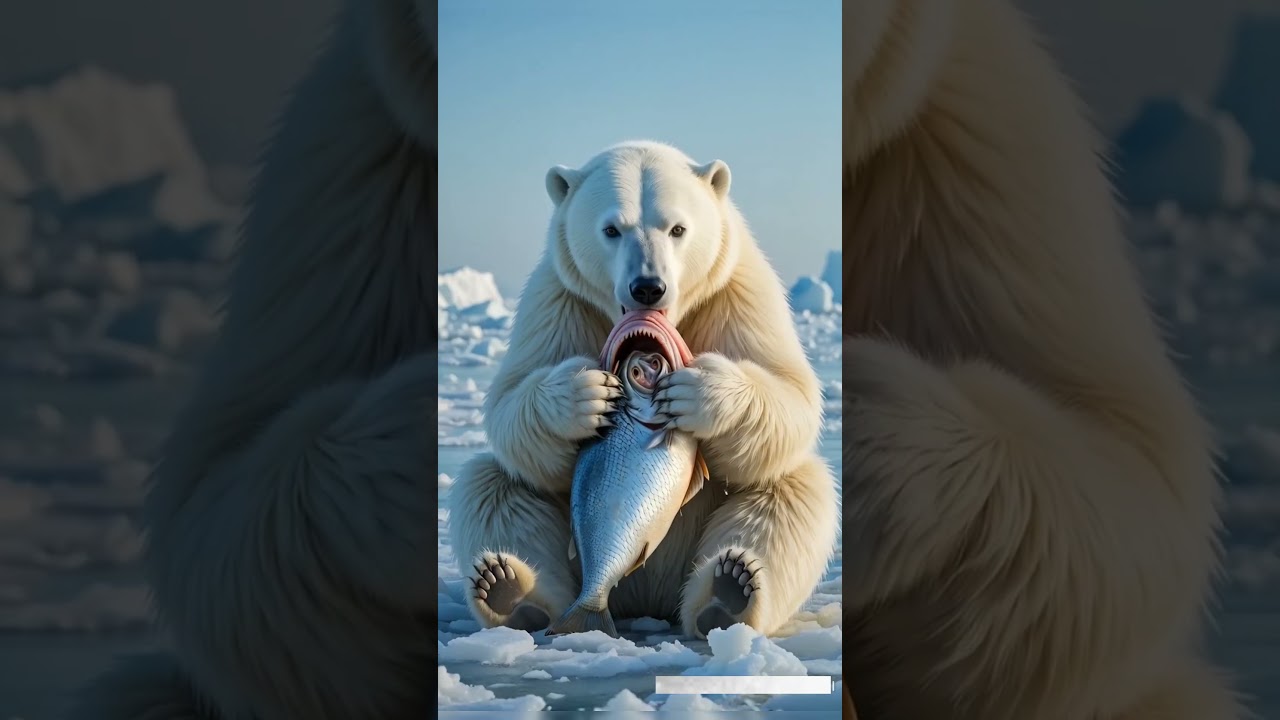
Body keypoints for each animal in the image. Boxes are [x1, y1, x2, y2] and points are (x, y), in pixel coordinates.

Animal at [446, 140, 839, 639]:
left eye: (677, 228)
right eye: (612, 228)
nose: (647, 287)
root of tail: (645, 601)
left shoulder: (739, 291)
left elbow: (791, 394)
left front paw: (698, 392)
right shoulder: (557, 299)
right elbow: (509, 401)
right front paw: (584, 395)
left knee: (793, 489)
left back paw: (729, 593)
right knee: (491, 483)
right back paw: (510, 590)